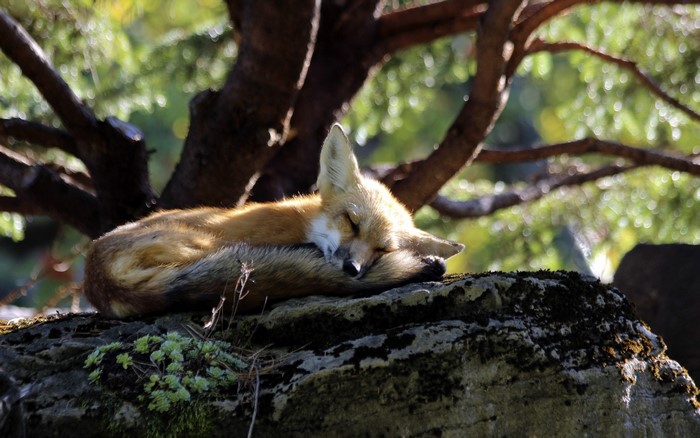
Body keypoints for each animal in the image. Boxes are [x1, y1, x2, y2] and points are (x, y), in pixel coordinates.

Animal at [84, 124, 464, 318]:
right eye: (352, 222)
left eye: (382, 249)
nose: (353, 269)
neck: (301, 221)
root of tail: (99, 278)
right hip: (208, 242)